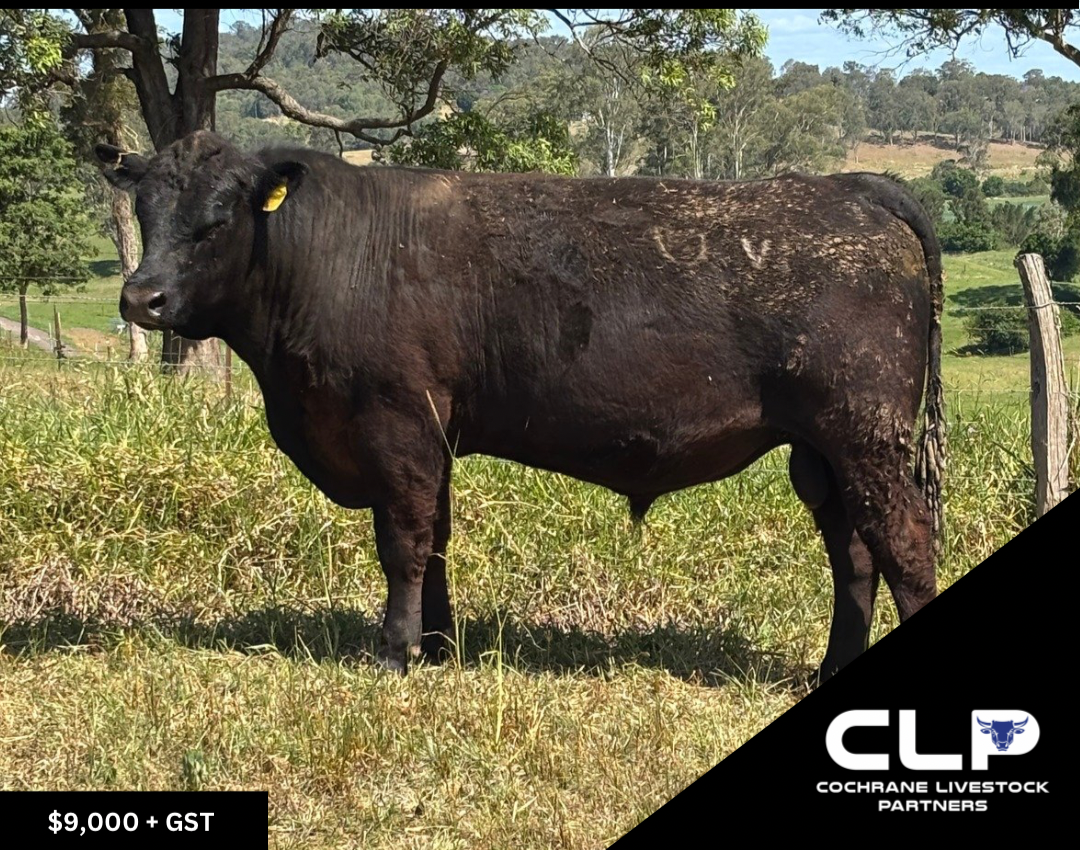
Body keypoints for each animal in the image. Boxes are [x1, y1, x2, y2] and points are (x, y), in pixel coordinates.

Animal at [95, 131, 945, 682]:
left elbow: (404, 544)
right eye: (145, 213)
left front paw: (394, 653)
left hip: (865, 434)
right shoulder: (432, 437)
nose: (141, 298)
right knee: (854, 554)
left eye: (216, 221)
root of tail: (847, 186)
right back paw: (831, 669)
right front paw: (438, 647)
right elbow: (436, 541)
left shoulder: (397, 425)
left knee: (904, 543)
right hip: (822, 452)